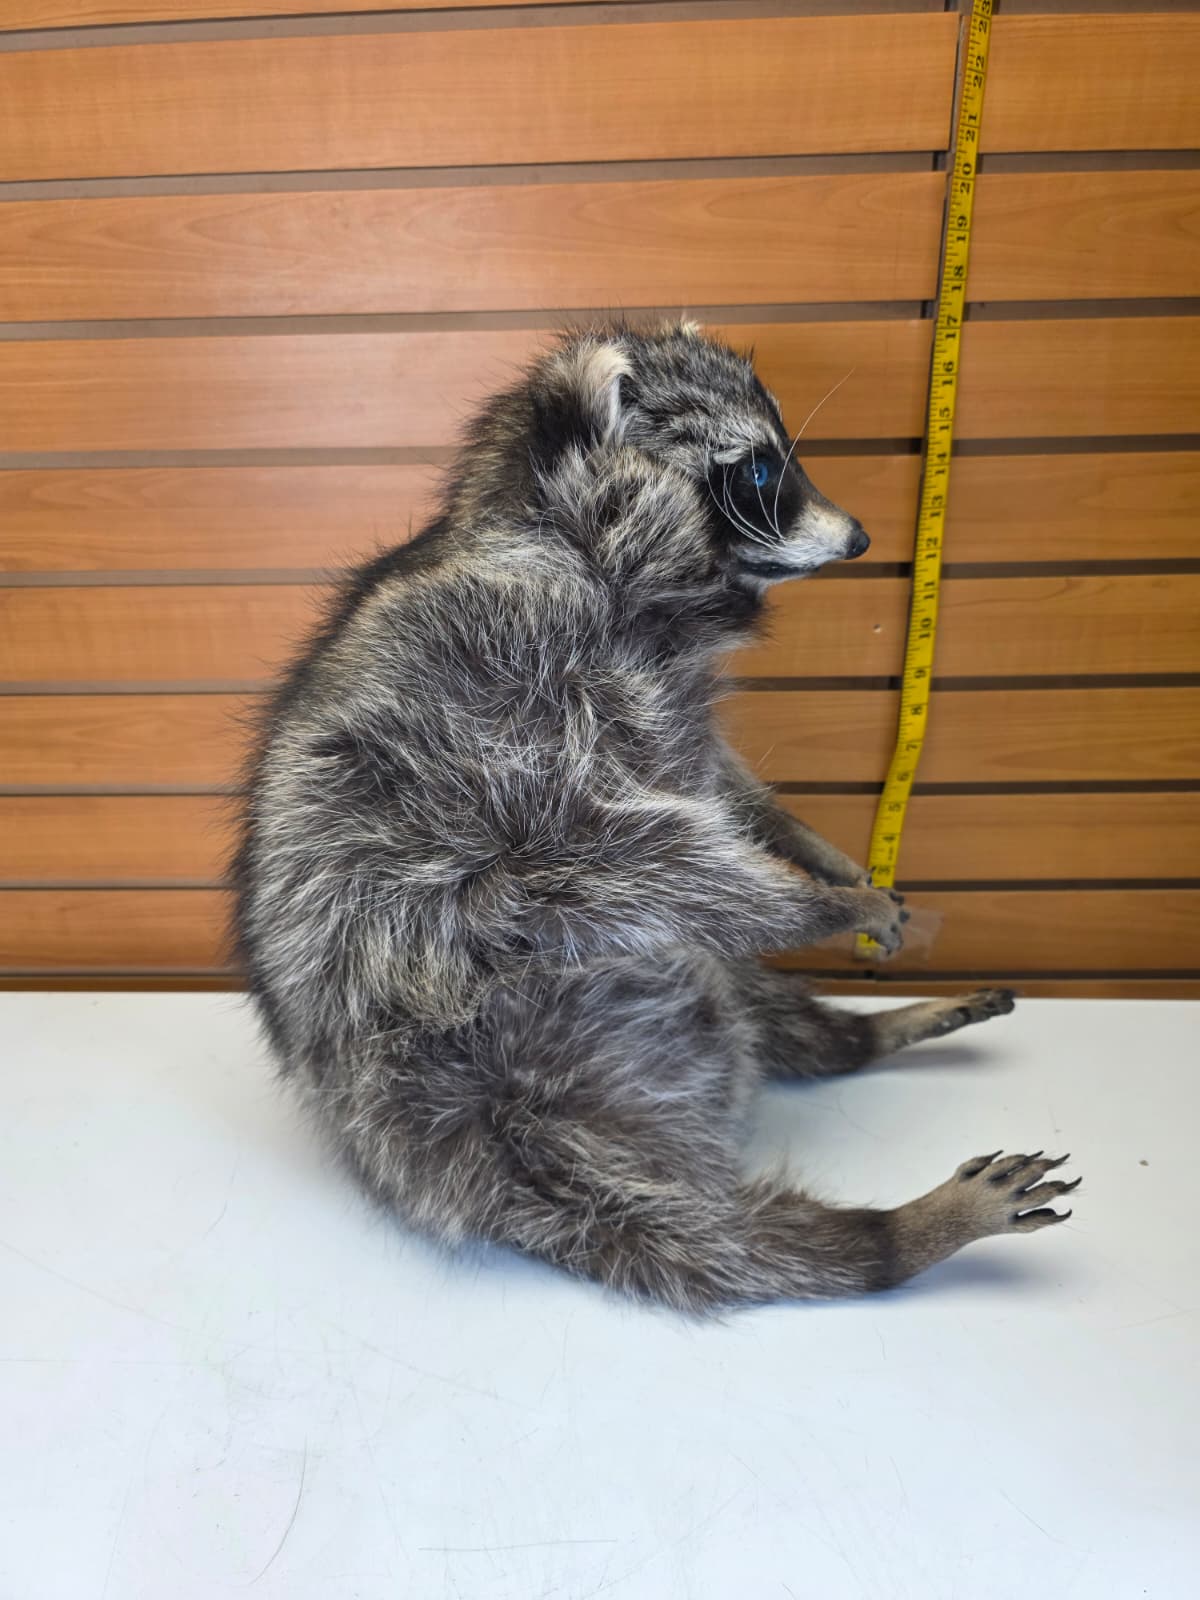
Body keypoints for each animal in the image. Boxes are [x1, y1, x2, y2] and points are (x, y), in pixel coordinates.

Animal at [233, 323, 1078, 1312]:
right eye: (758, 470)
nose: (864, 536)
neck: (576, 546)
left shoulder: (656, 704)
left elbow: (717, 787)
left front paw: (813, 850)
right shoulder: (494, 707)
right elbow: (634, 849)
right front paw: (815, 903)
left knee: (766, 1014)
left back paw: (864, 1034)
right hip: (503, 1125)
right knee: (720, 1239)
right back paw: (890, 1238)